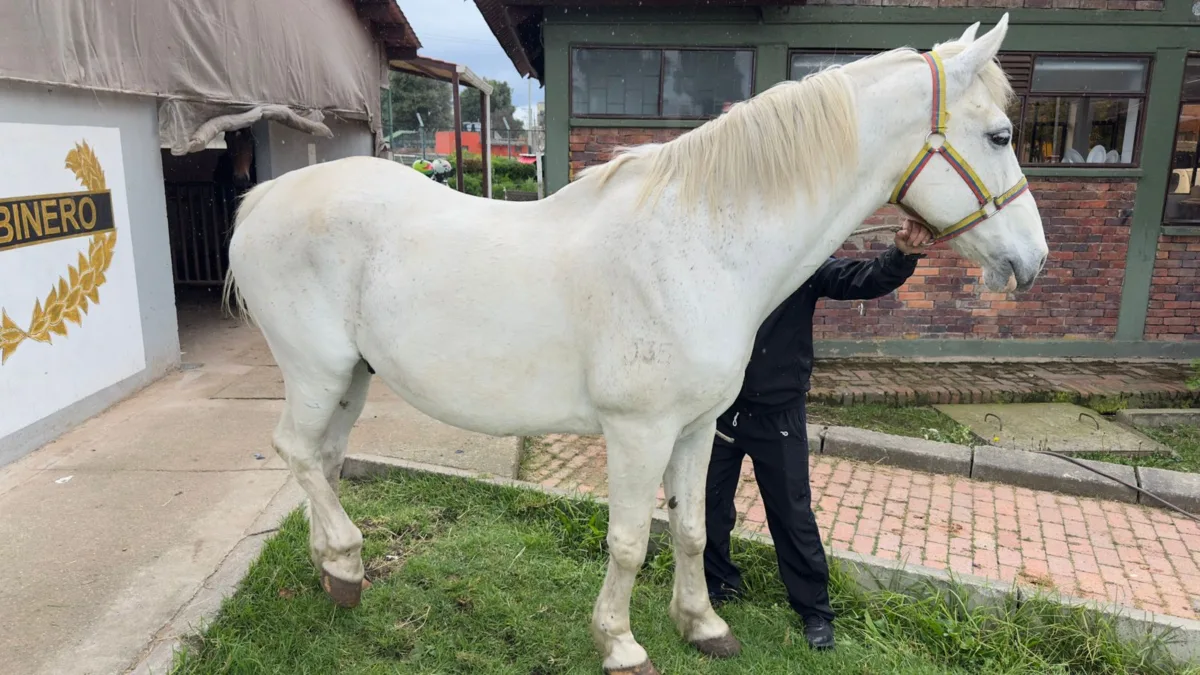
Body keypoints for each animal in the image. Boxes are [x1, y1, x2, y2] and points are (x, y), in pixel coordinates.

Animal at [223, 15, 1046, 674]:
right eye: (1000, 136)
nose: (1032, 260)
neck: (700, 246)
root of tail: (264, 198)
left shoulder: (696, 427)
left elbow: (690, 528)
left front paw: (703, 623)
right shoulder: (638, 431)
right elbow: (628, 540)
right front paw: (620, 643)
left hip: (352, 378)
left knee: (325, 459)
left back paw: (334, 570)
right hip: (317, 370)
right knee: (297, 451)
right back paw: (345, 559)